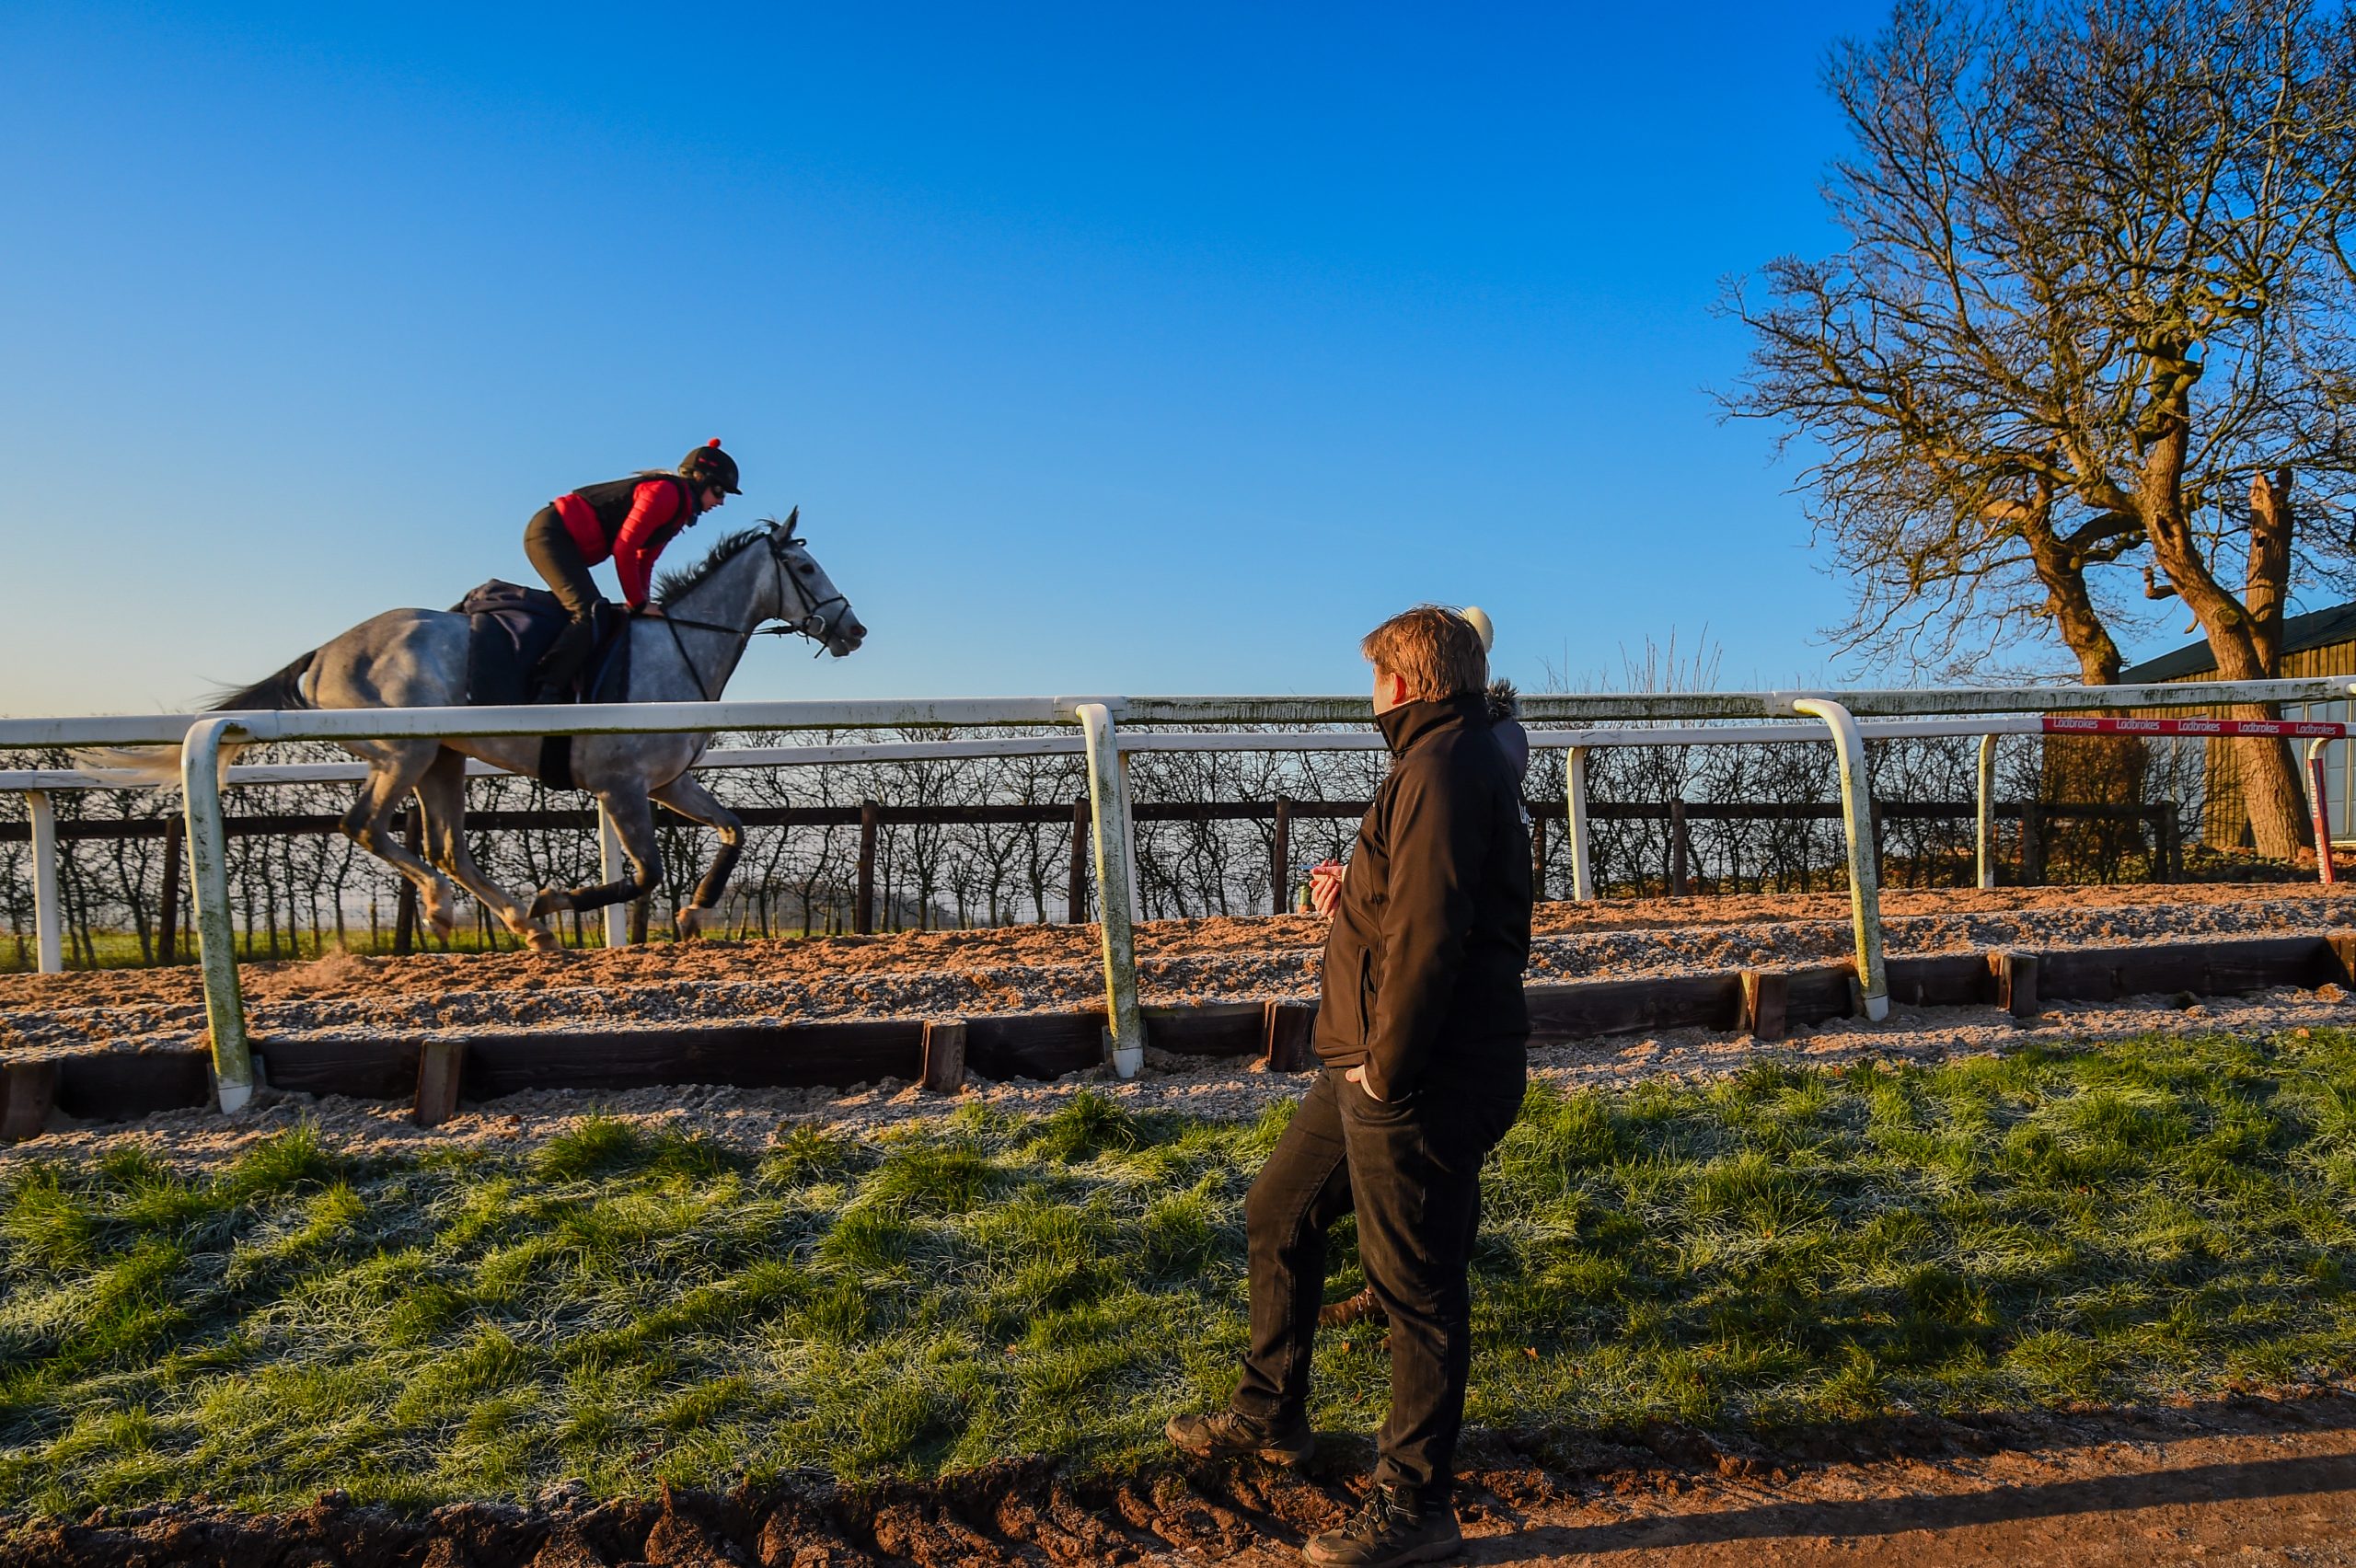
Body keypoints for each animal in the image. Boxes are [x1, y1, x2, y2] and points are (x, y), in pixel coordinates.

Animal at [98, 515, 867, 951]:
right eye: (804, 567)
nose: (853, 628)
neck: (676, 647)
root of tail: (323, 654)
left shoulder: (668, 782)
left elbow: (735, 830)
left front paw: (695, 915)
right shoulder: (620, 786)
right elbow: (645, 871)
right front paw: (556, 898)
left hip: (443, 759)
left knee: (446, 845)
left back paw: (523, 926)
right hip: (403, 751)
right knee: (365, 826)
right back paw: (457, 910)